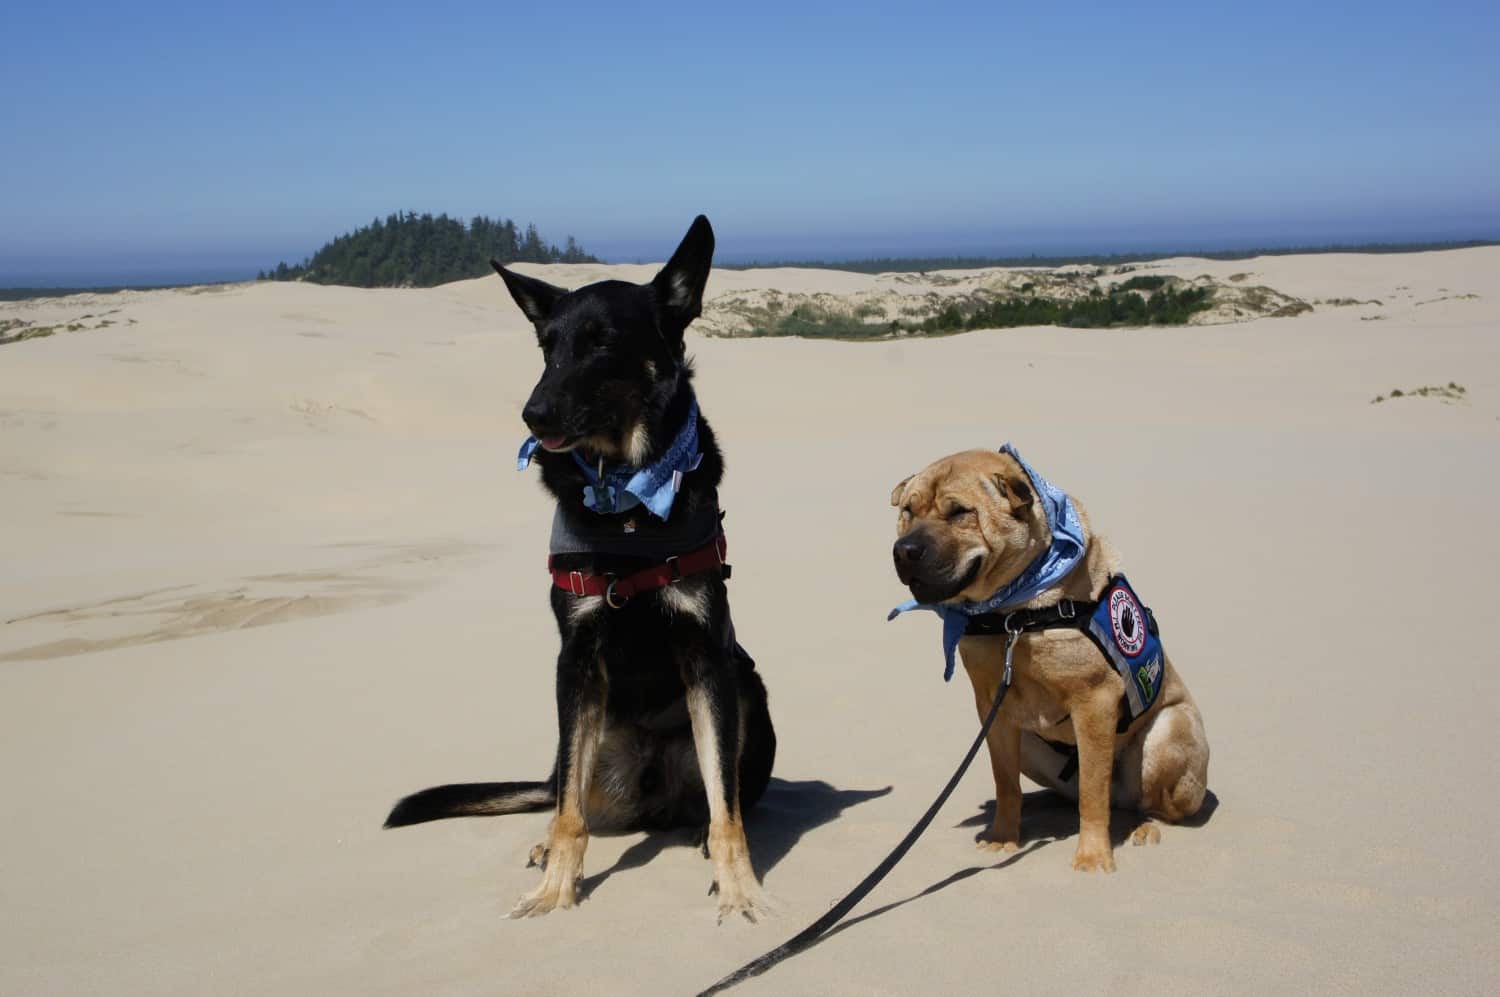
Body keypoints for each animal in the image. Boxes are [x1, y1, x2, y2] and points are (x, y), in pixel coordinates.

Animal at [381, 214, 780, 923]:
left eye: (602, 343)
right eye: (548, 347)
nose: (531, 415)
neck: (628, 506)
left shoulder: (707, 656)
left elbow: (727, 810)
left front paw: (739, 889)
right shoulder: (576, 660)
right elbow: (570, 813)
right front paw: (554, 891)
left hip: (747, 692)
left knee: (716, 794)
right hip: (587, 732)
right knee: (565, 790)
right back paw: (546, 846)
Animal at [888, 446, 1206, 869]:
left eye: (959, 512)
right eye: (908, 510)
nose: (904, 551)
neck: (1013, 613)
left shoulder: (1094, 701)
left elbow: (1092, 792)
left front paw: (1092, 856)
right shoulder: (993, 708)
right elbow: (1005, 782)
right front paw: (1003, 837)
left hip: (1166, 734)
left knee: (1149, 805)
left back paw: (1144, 828)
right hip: (1031, 746)